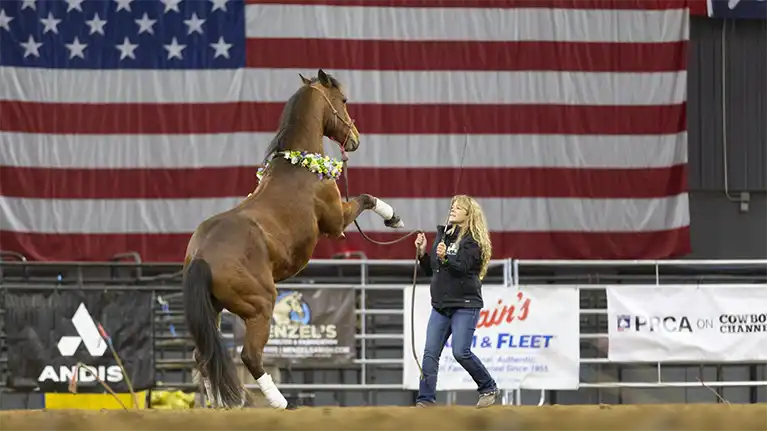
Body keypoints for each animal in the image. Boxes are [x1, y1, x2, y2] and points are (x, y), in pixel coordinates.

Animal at [181, 69, 405, 410]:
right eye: (343, 100)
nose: (355, 138)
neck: (302, 166)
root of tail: (201, 255)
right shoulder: (336, 220)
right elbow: (366, 198)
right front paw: (393, 217)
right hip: (260, 306)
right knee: (250, 356)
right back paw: (281, 403)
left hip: (214, 309)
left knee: (204, 356)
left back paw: (220, 405)